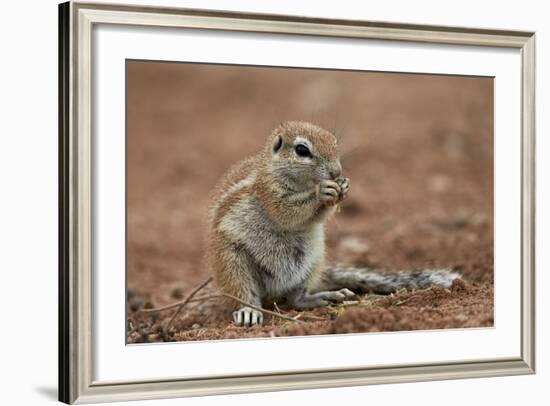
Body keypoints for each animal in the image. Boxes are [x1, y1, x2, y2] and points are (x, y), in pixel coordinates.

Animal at [205, 120, 460, 326]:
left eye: (334, 142)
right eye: (302, 150)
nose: (336, 171)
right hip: (232, 263)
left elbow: (317, 217)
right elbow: (286, 212)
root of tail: (273, 293)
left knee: (295, 299)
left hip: (312, 261)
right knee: (244, 293)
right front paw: (321, 191)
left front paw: (344, 187)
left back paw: (322, 297)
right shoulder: (269, 192)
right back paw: (248, 311)